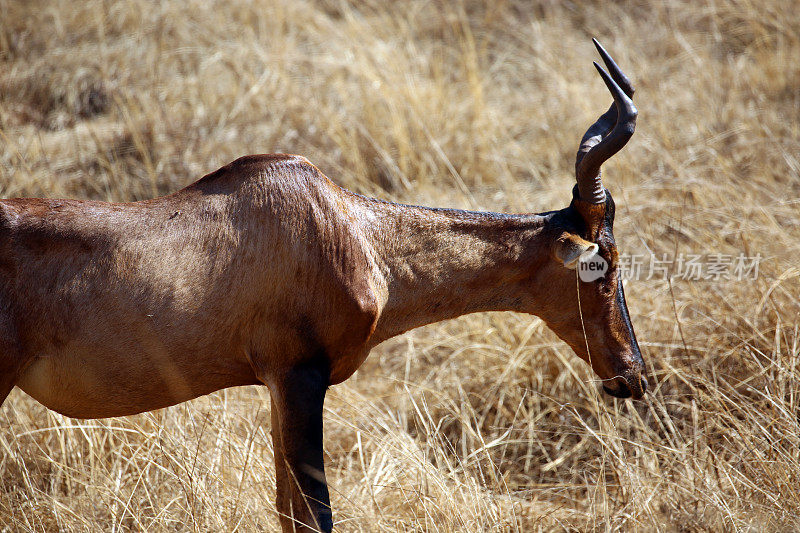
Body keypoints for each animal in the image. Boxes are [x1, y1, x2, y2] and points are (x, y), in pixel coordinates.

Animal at [0, 40, 648, 528]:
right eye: (605, 264)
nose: (634, 376)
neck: (347, 226)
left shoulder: (277, 388)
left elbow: (289, 512)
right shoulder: (300, 377)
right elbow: (316, 517)